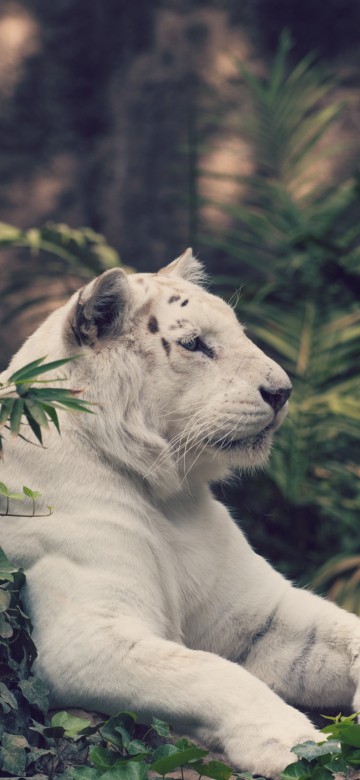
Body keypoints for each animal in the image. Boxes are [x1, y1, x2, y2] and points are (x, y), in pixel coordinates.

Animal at [0, 253, 360, 776]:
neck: (169, 498)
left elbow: (340, 628)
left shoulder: (258, 616)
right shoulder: (84, 638)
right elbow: (212, 671)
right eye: (195, 344)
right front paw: (294, 744)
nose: (283, 391)